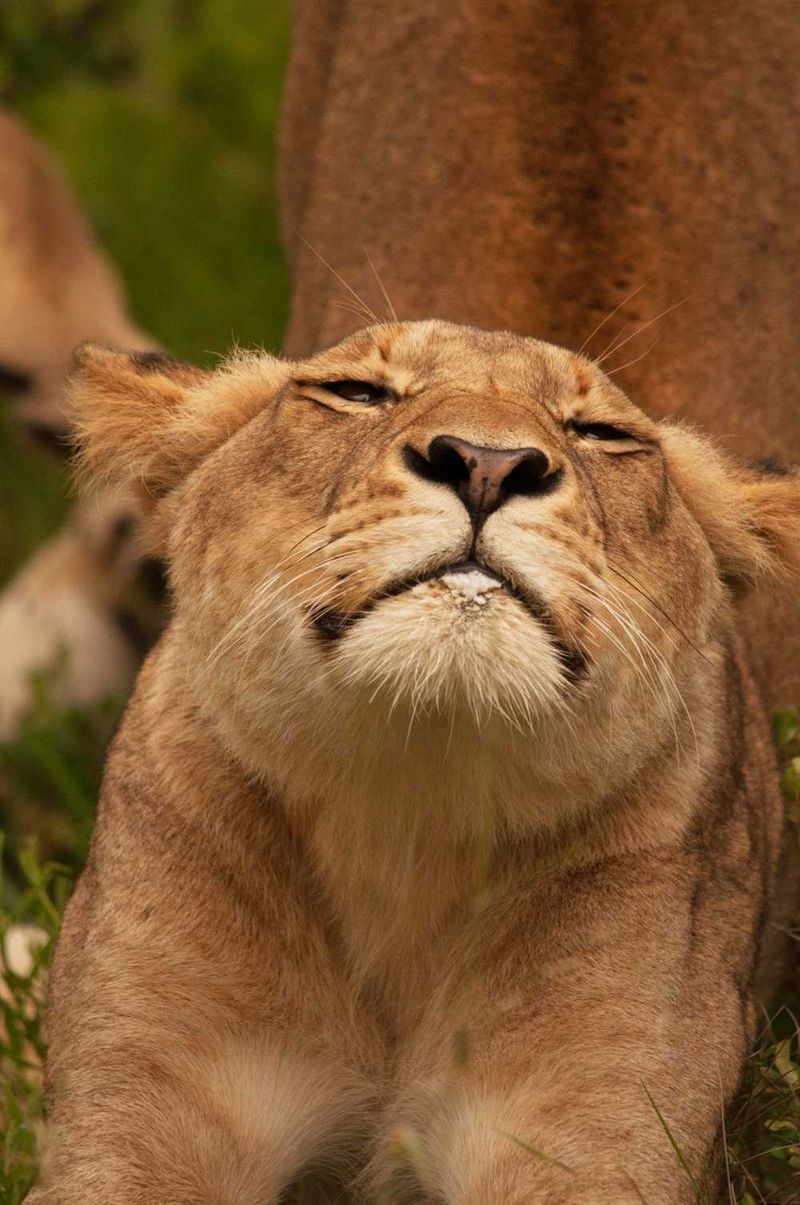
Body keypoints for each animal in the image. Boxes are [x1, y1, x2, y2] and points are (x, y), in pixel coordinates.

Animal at [27, 319, 800, 1204]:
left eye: (602, 432)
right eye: (357, 391)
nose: (489, 463)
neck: (406, 821)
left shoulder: (595, 1124)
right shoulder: (139, 1104)